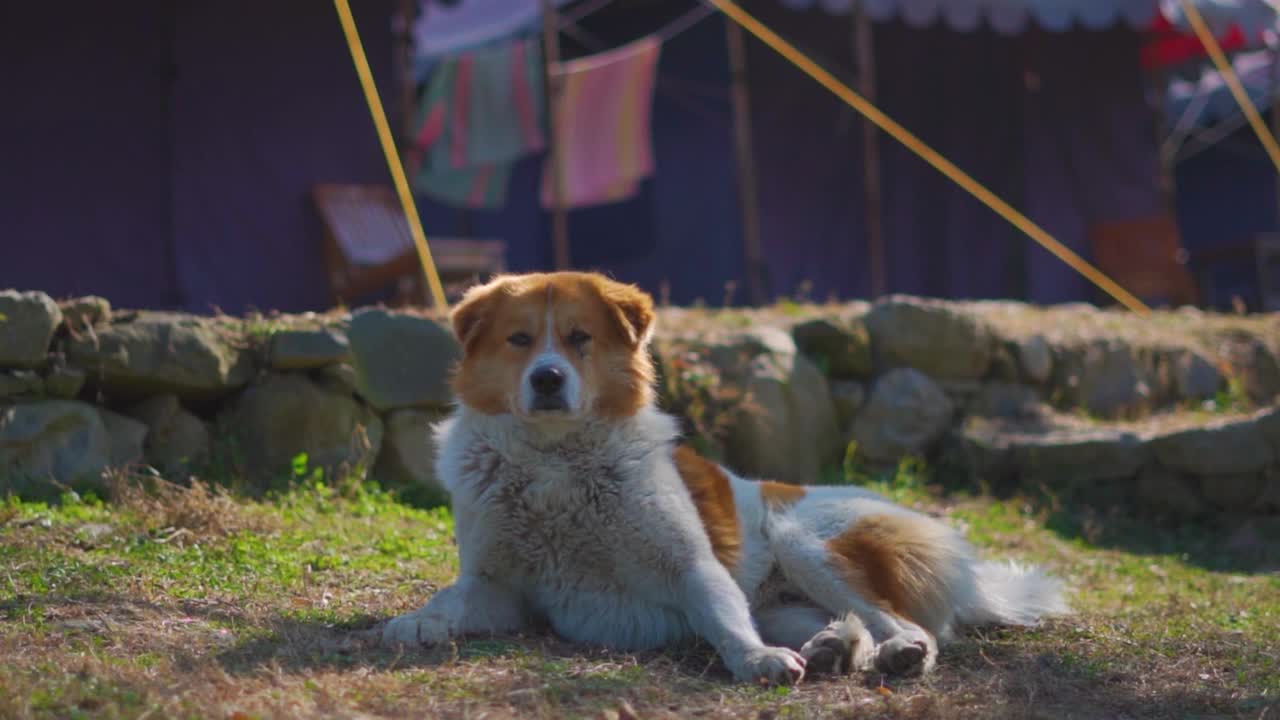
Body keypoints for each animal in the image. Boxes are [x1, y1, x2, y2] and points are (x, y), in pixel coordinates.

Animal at [381, 271, 1070, 681]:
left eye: (579, 338)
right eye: (520, 340)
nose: (547, 378)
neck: (556, 463)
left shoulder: (693, 565)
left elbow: (722, 618)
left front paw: (755, 660)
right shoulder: (501, 586)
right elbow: (452, 596)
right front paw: (420, 622)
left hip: (805, 540)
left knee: (907, 625)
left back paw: (896, 654)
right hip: (789, 600)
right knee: (845, 626)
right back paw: (834, 650)